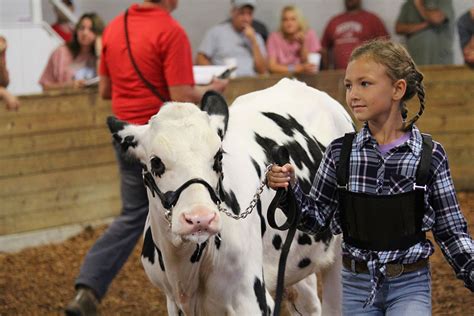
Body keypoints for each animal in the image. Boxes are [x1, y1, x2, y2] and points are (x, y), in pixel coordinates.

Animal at [106, 79, 352, 316]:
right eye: (156, 162)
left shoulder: (252, 299)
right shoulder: (173, 302)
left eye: (218, 157)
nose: (200, 218)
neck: (184, 270)